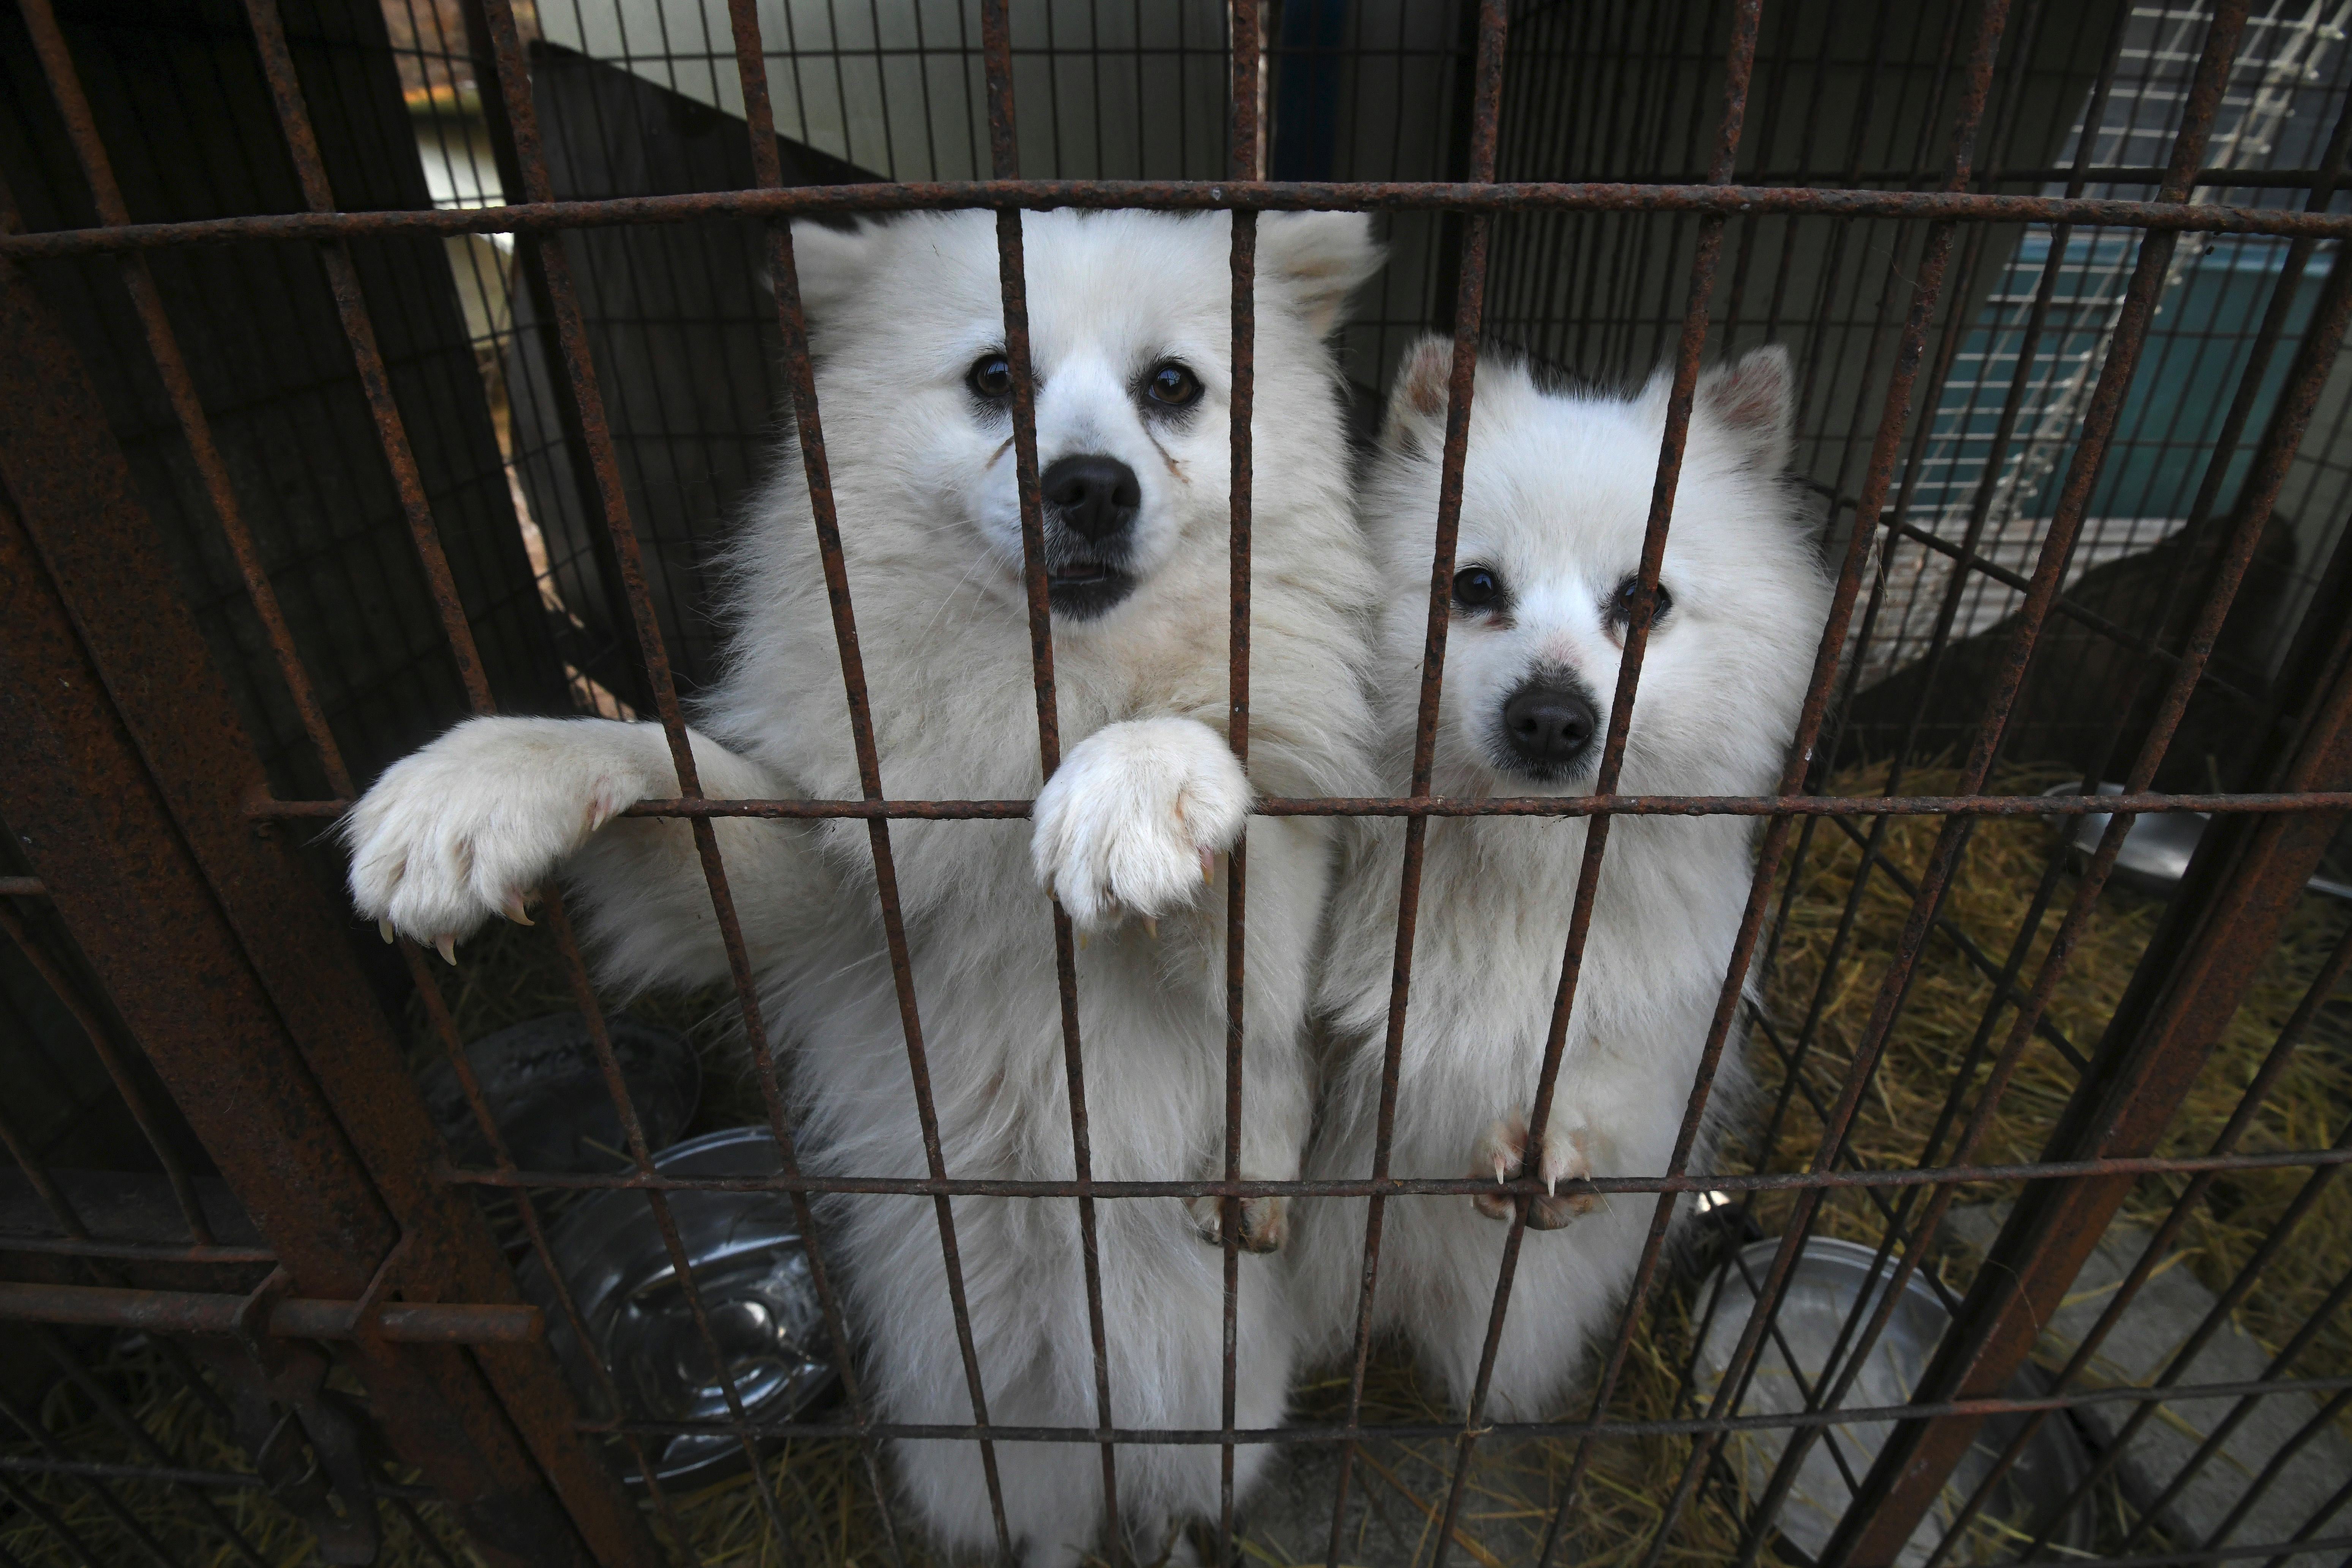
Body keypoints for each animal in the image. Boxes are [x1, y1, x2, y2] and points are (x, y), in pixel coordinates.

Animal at [346, 212, 1374, 1568]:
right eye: (994, 375)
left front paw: (1139, 775)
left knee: (1167, 1482)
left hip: (1206, 1414)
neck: (1051, 689)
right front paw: (483, 779)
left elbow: (1224, 808)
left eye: (1172, 387)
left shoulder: (1270, 926)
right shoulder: (831, 888)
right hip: (978, 1444)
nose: (1091, 485)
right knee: (1053, 1524)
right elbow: (669, 765)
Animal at [1298, 338, 1825, 1420]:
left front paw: (1551, 1141)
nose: (1550, 716)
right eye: (1472, 585)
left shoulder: (1658, 1015)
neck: (1523, 866)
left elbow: (1603, 1079)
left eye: (1643, 600)